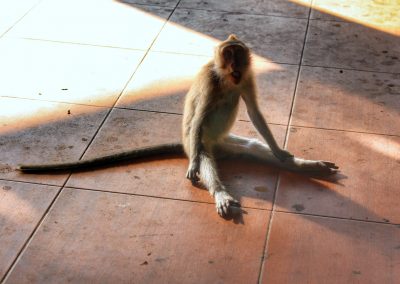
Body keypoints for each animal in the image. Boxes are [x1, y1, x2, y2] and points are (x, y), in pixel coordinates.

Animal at [18, 34, 338, 217]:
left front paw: (281, 152)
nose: (234, 63)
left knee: (254, 148)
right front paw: (199, 171)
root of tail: (218, 146)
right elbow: (199, 118)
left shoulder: (246, 78)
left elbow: (256, 113)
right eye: (228, 55)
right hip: (199, 144)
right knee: (204, 156)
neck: (228, 80)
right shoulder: (211, 81)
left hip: (228, 142)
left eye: (238, 54)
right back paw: (219, 191)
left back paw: (306, 165)